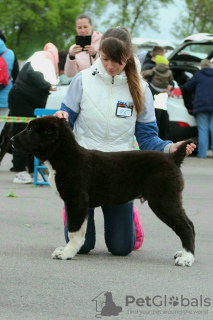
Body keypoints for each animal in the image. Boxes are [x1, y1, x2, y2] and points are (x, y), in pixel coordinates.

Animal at [11, 115, 195, 264]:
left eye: (31, 129)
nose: (12, 140)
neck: (65, 156)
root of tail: (172, 158)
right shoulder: (79, 205)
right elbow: (80, 230)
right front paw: (67, 249)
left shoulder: (76, 200)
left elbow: (73, 231)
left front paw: (67, 253)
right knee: (190, 224)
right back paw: (184, 254)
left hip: (163, 200)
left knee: (186, 226)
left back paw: (187, 258)